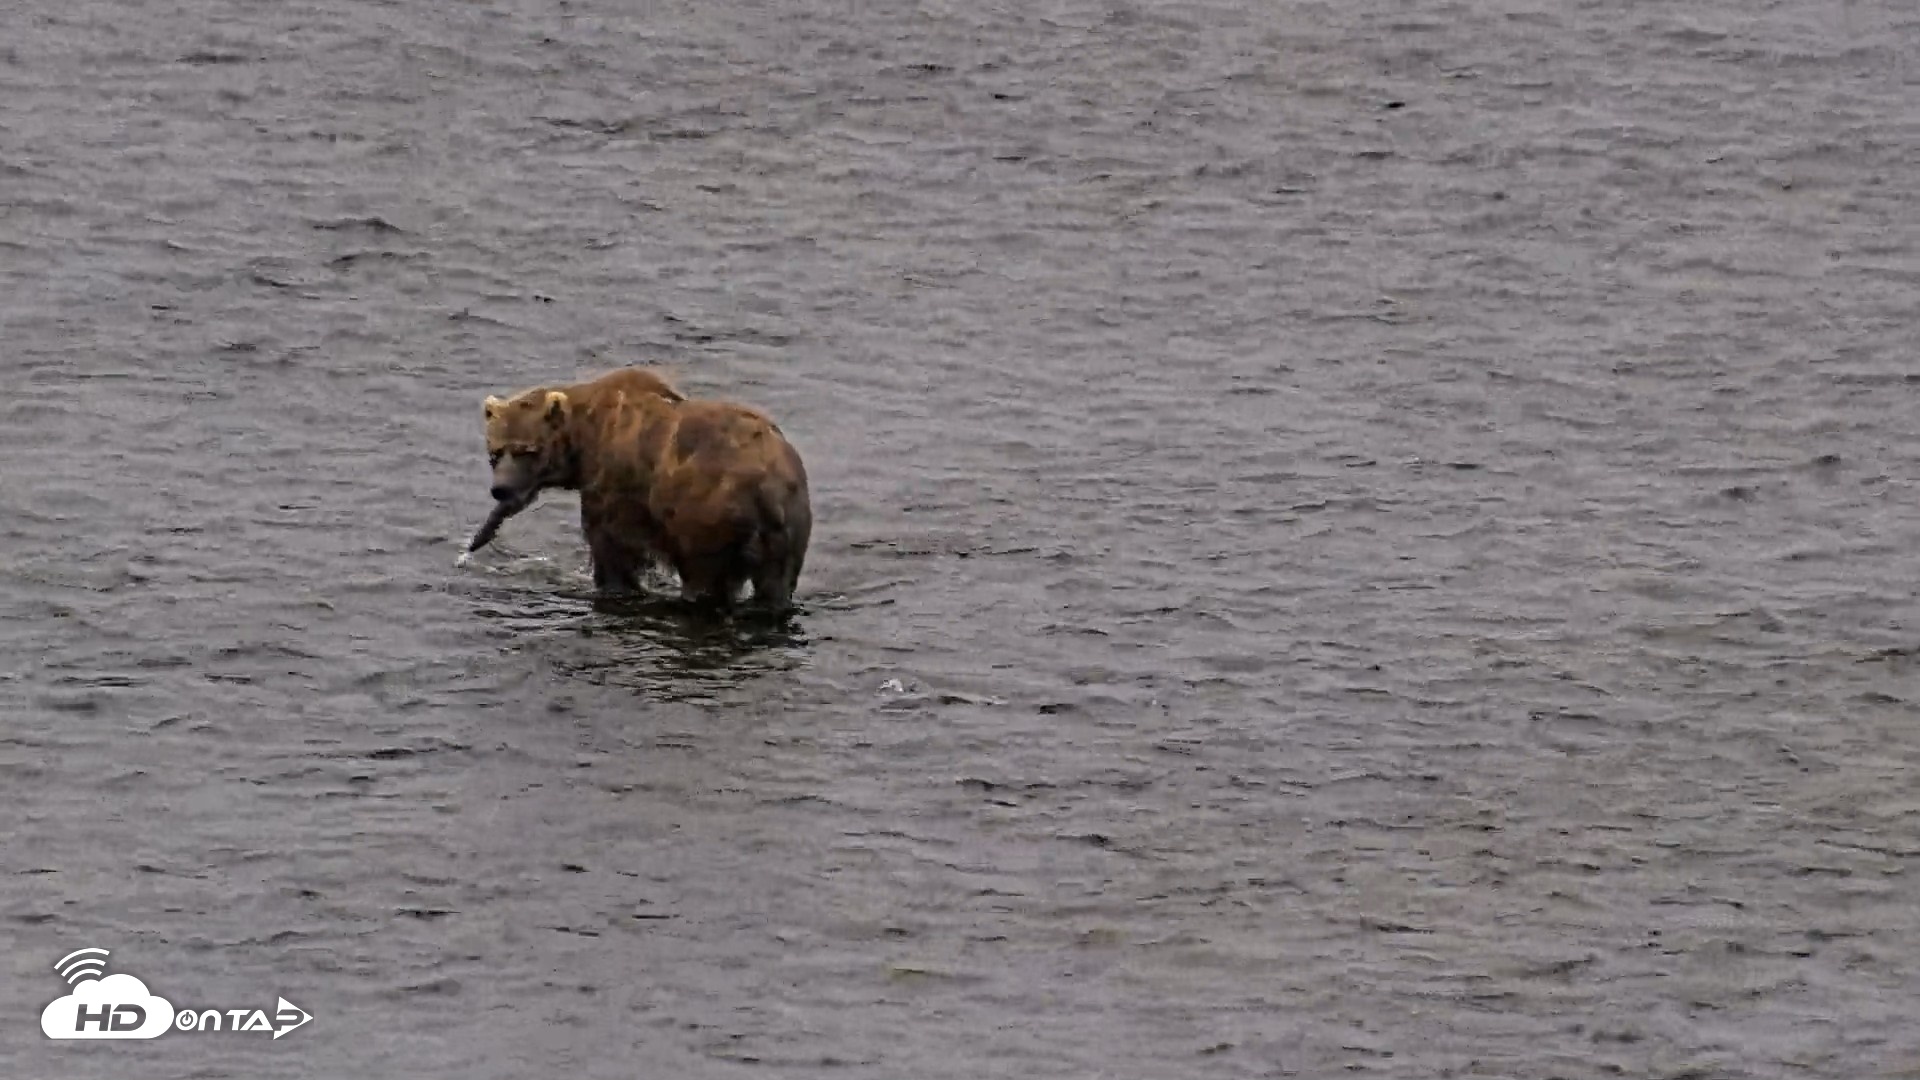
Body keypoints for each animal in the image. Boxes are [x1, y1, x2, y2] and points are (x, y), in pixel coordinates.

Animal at [478, 366, 811, 611]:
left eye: (527, 451)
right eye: (495, 452)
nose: (501, 489)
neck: (584, 437)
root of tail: (767, 488)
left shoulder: (616, 485)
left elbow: (613, 547)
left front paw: (615, 584)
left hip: (708, 511)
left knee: (704, 574)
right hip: (789, 524)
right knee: (775, 584)